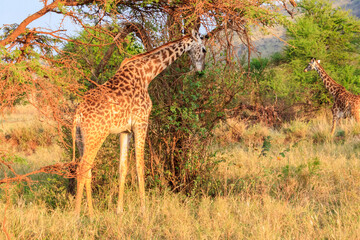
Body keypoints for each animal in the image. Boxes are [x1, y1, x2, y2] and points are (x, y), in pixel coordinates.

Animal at [71, 29, 207, 217]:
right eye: (204, 50)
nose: (201, 70)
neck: (147, 73)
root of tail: (78, 114)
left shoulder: (125, 130)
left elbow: (123, 168)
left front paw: (119, 210)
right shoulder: (142, 122)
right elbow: (140, 166)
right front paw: (144, 210)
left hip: (81, 139)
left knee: (88, 171)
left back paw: (91, 215)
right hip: (96, 136)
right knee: (82, 169)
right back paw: (77, 216)